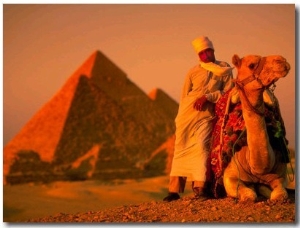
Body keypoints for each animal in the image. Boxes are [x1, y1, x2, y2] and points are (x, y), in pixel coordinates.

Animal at [220, 54, 290, 201]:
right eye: (251, 65)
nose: (282, 60)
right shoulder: (229, 174)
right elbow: (249, 195)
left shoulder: (281, 174)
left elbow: (280, 193)